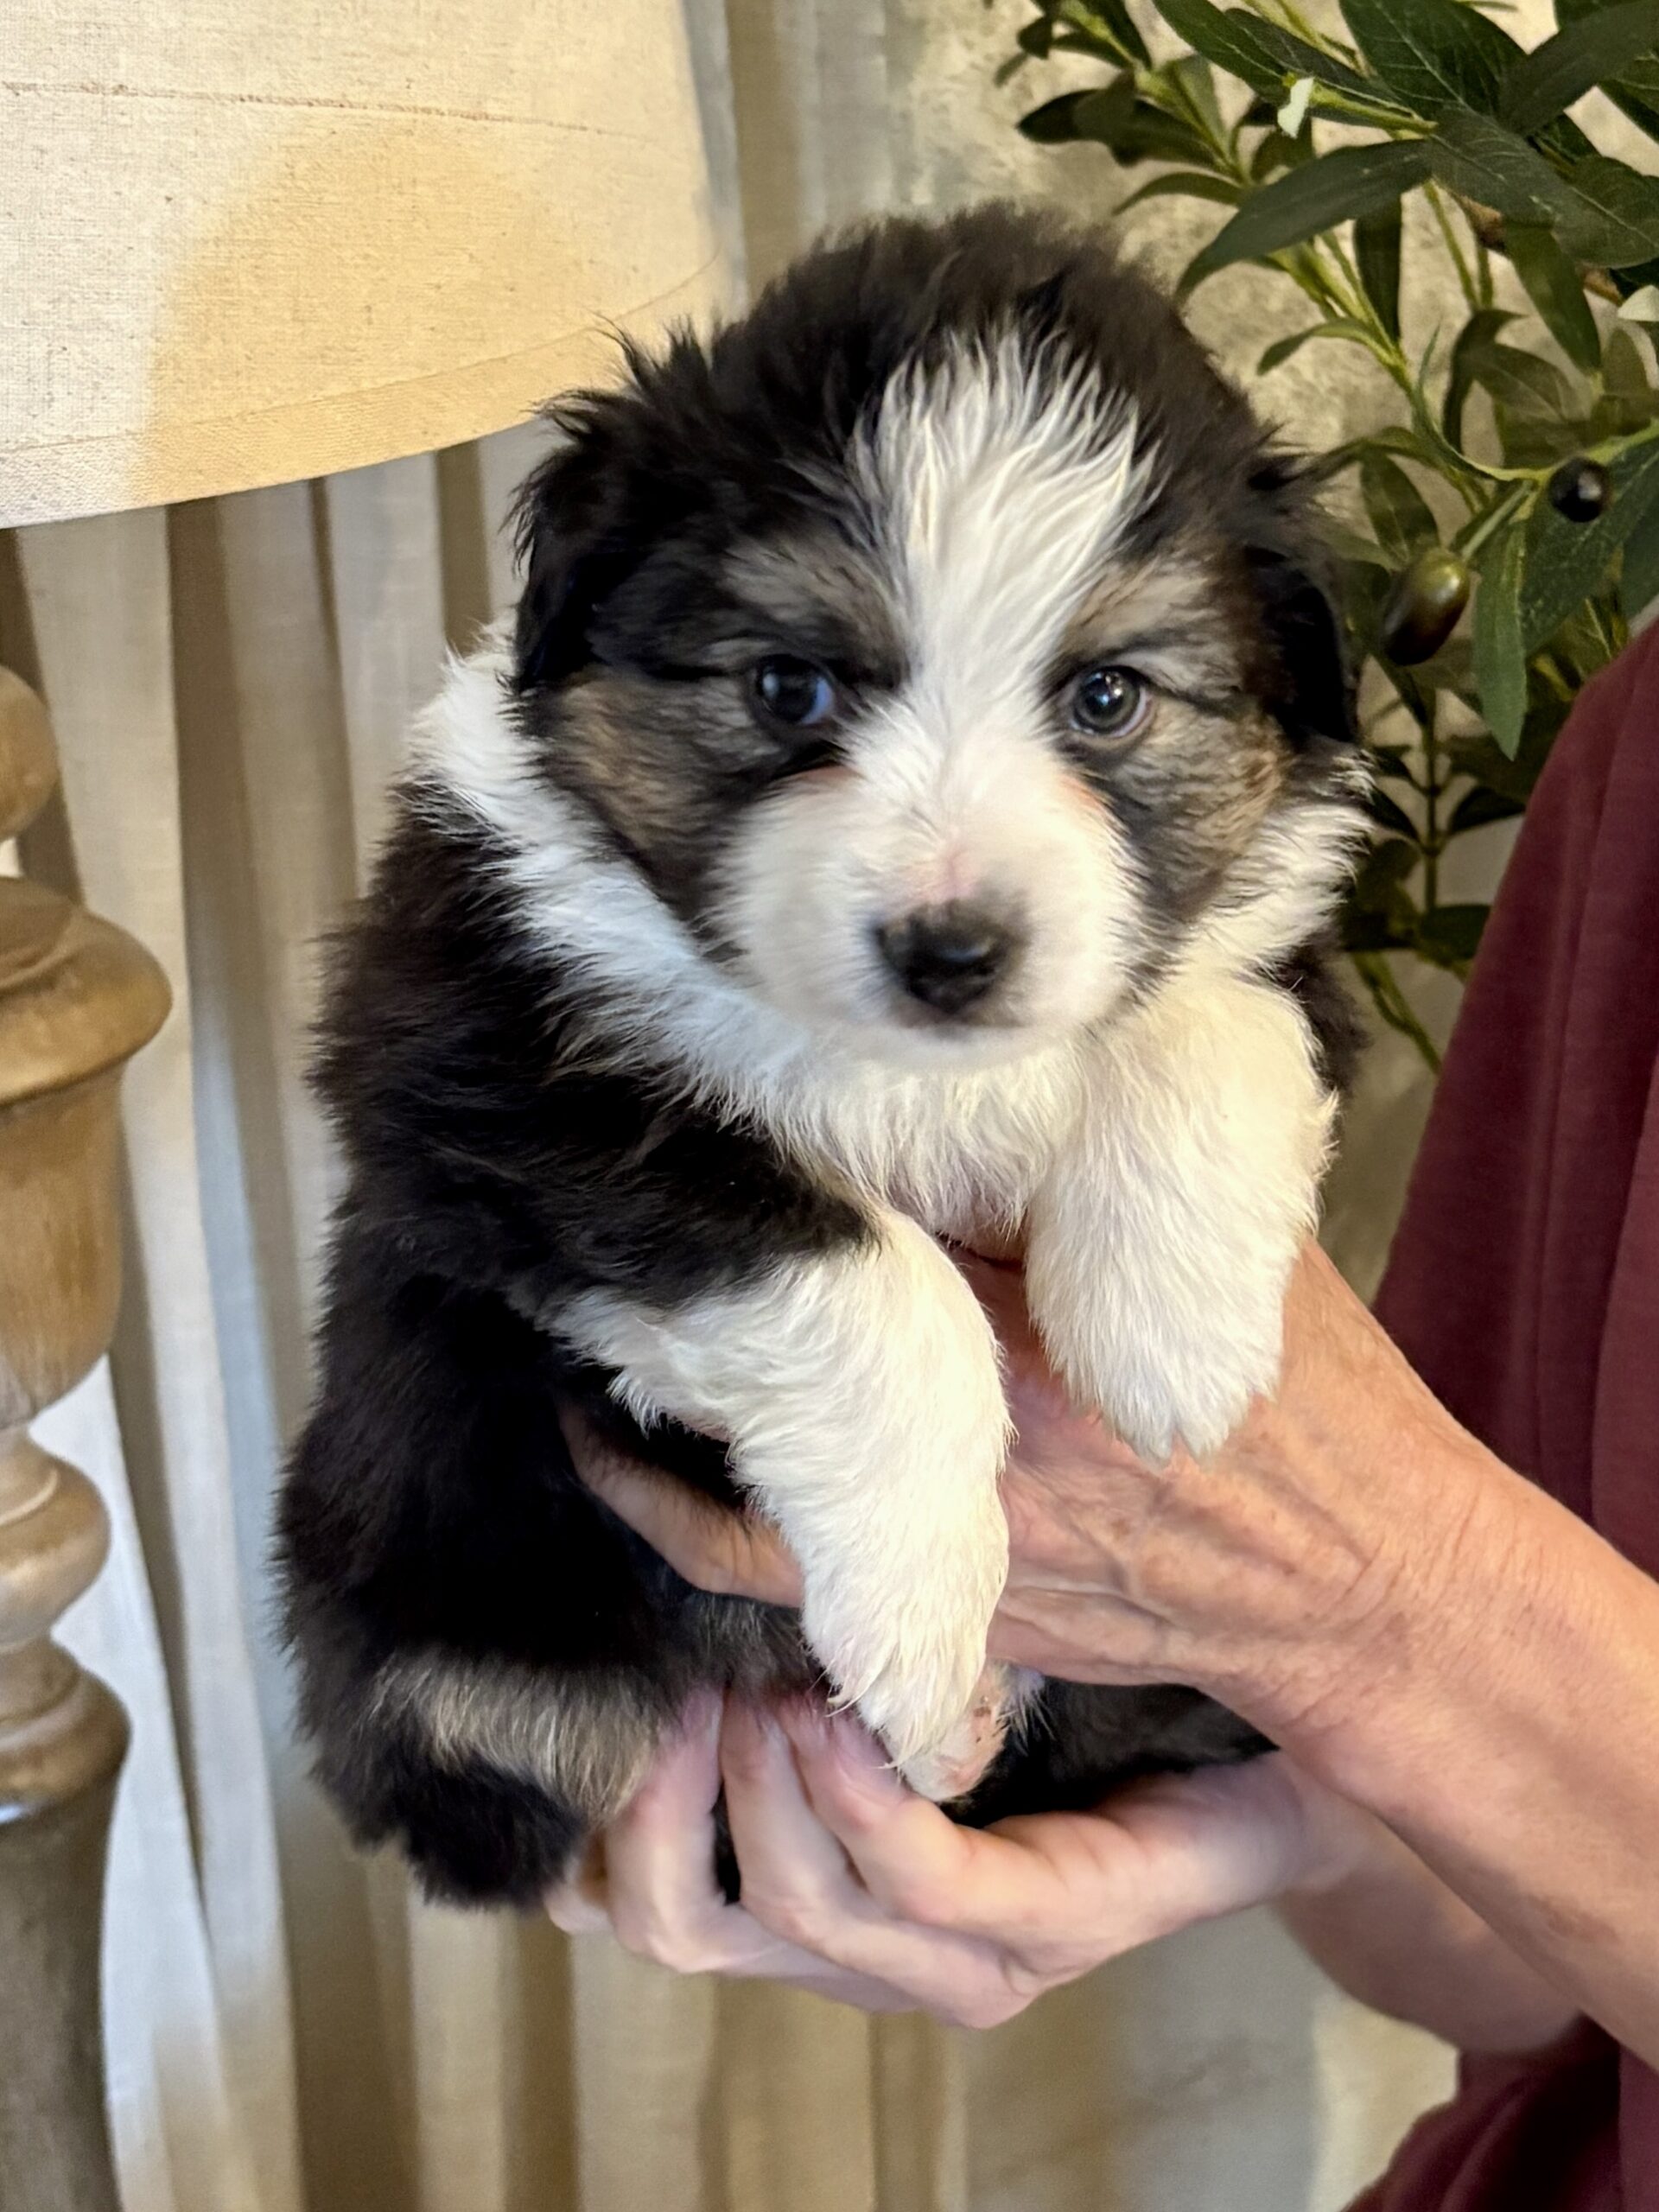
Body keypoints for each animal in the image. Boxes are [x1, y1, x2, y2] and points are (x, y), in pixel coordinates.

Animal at [283, 199, 1362, 1910]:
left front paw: (1167, 1346)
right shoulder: (478, 1066)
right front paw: (923, 1617)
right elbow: (857, 1277)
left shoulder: (1292, 952)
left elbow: (1206, 1009)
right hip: (461, 1647)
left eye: (1108, 697)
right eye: (791, 685)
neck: (909, 1061)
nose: (952, 949)